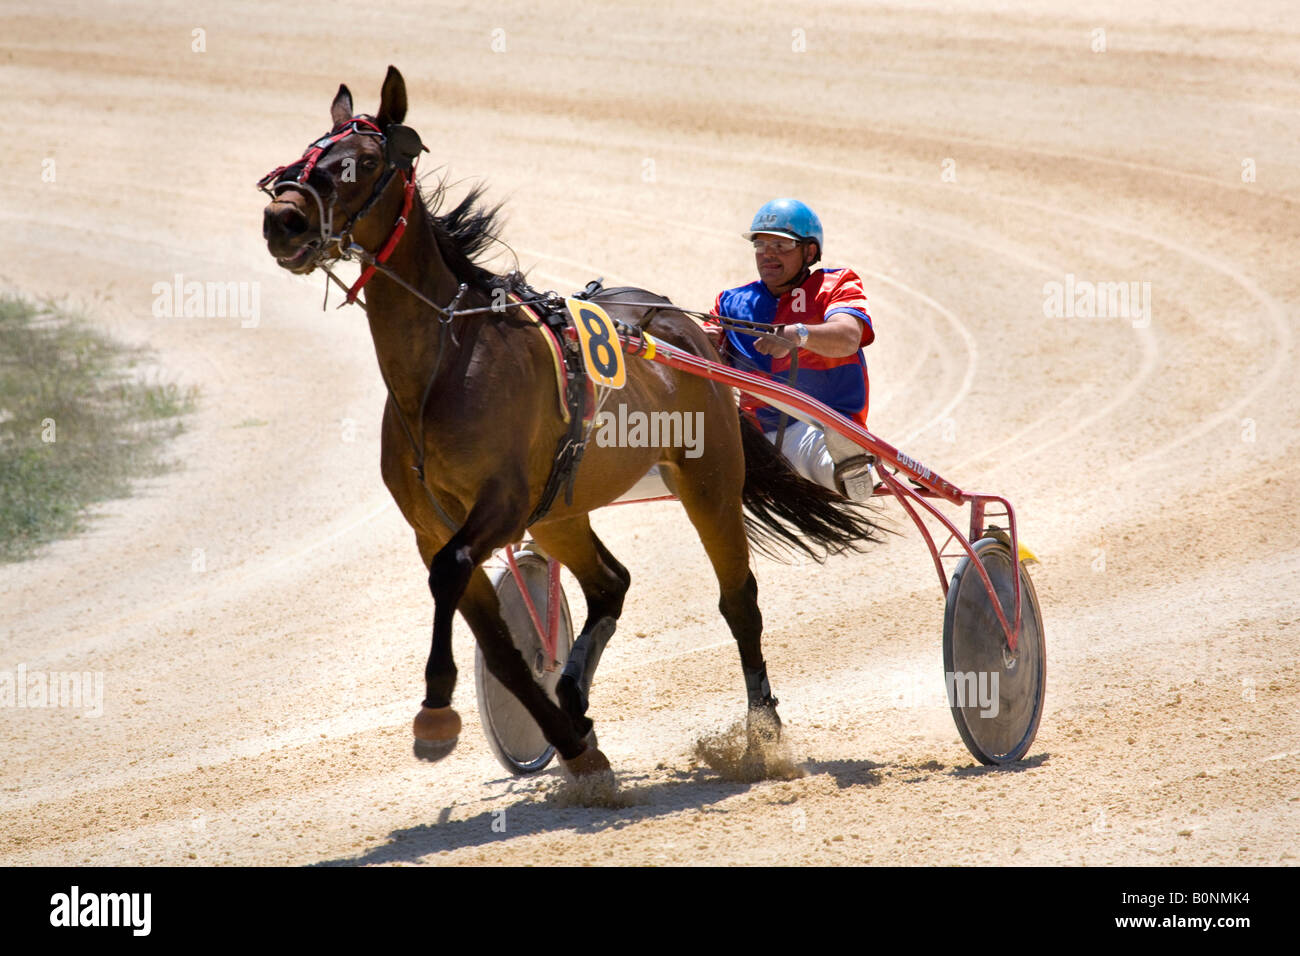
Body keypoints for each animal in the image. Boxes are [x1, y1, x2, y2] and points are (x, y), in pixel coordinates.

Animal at [256, 65, 883, 780]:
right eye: (307, 152)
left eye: (359, 162)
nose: (282, 218)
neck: (445, 361)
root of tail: (685, 328)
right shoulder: (433, 524)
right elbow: (499, 643)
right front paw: (575, 742)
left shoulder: (499, 504)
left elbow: (449, 572)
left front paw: (437, 712)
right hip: (560, 511)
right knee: (610, 584)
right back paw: (574, 695)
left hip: (709, 479)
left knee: (738, 601)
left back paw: (763, 734)